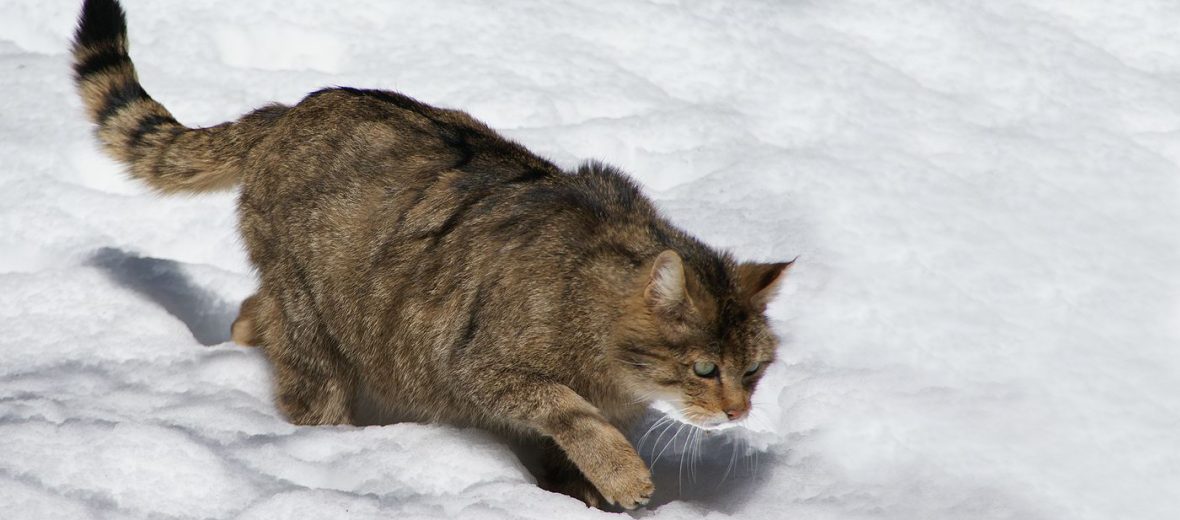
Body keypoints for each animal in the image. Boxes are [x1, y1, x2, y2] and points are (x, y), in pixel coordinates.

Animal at [73, 0, 792, 507]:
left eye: (755, 370)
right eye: (704, 369)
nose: (739, 412)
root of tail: (296, 105)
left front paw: (585, 492)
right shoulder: (480, 363)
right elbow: (567, 408)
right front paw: (620, 474)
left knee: (253, 313)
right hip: (316, 324)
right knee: (306, 383)